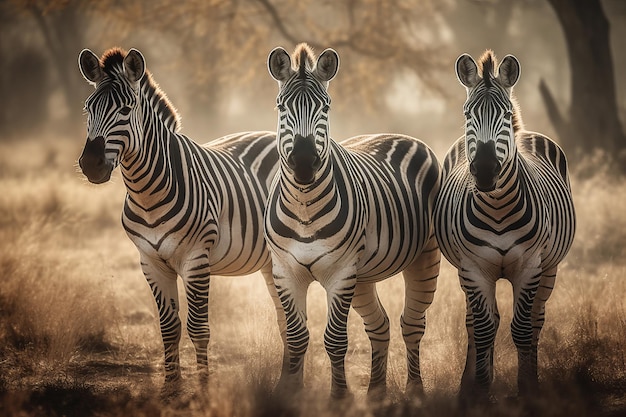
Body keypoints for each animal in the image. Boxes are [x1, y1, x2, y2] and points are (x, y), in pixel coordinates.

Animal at [77, 48, 284, 390]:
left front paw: (202, 388)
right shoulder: (150, 261)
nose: (91, 164)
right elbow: (169, 327)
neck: (148, 193)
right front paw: (171, 388)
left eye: (126, 109)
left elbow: (198, 328)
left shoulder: (196, 258)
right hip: (271, 261)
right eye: (87, 108)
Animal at [266, 44, 442, 398]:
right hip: (364, 277)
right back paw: (376, 392)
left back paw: (415, 389)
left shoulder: (341, 273)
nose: (303, 163)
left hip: (424, 257)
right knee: (380, 325)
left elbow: (335, 340)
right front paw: (288, 394)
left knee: (412, 325)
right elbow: (296, 337)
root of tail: (397, 134)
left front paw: (339, 397)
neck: (304, 207)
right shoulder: (285, 272)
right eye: (281, 107)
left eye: (325, 107)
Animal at [432, 50, 572, 398]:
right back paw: (468, 386)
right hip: (467, 273)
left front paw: (528, 391)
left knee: (536, 320)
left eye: (506, 114)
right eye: (468, 114)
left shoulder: (530, 266)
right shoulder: (474, 268)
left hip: (550, 268)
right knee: (477, 322)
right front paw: (481, 391)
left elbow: (522, 329)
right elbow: (483, 329)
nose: (484, 171)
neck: (498, 208)